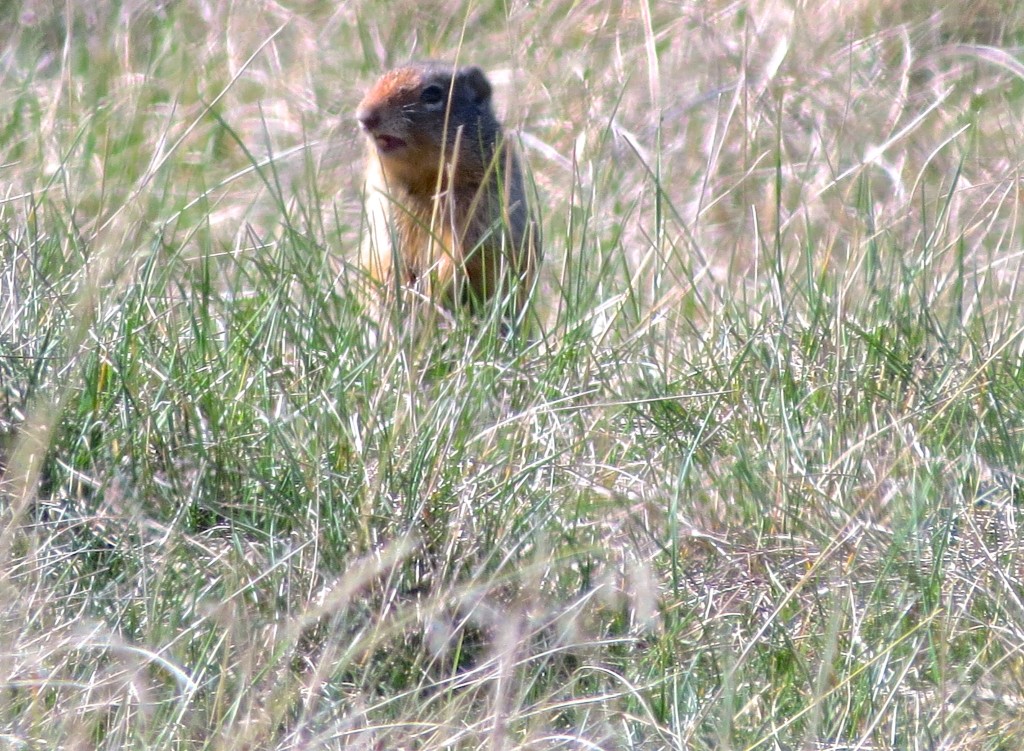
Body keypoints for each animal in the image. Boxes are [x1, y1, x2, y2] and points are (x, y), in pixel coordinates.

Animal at [355, 62, 539, 316]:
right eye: (378, 81)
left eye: (433, 94)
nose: (364, 117)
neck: (425, 182)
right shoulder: (383, 210)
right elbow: (383, 252)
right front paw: (394, 288)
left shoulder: (478, 210)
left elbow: (460, 255)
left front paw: (434, 292)